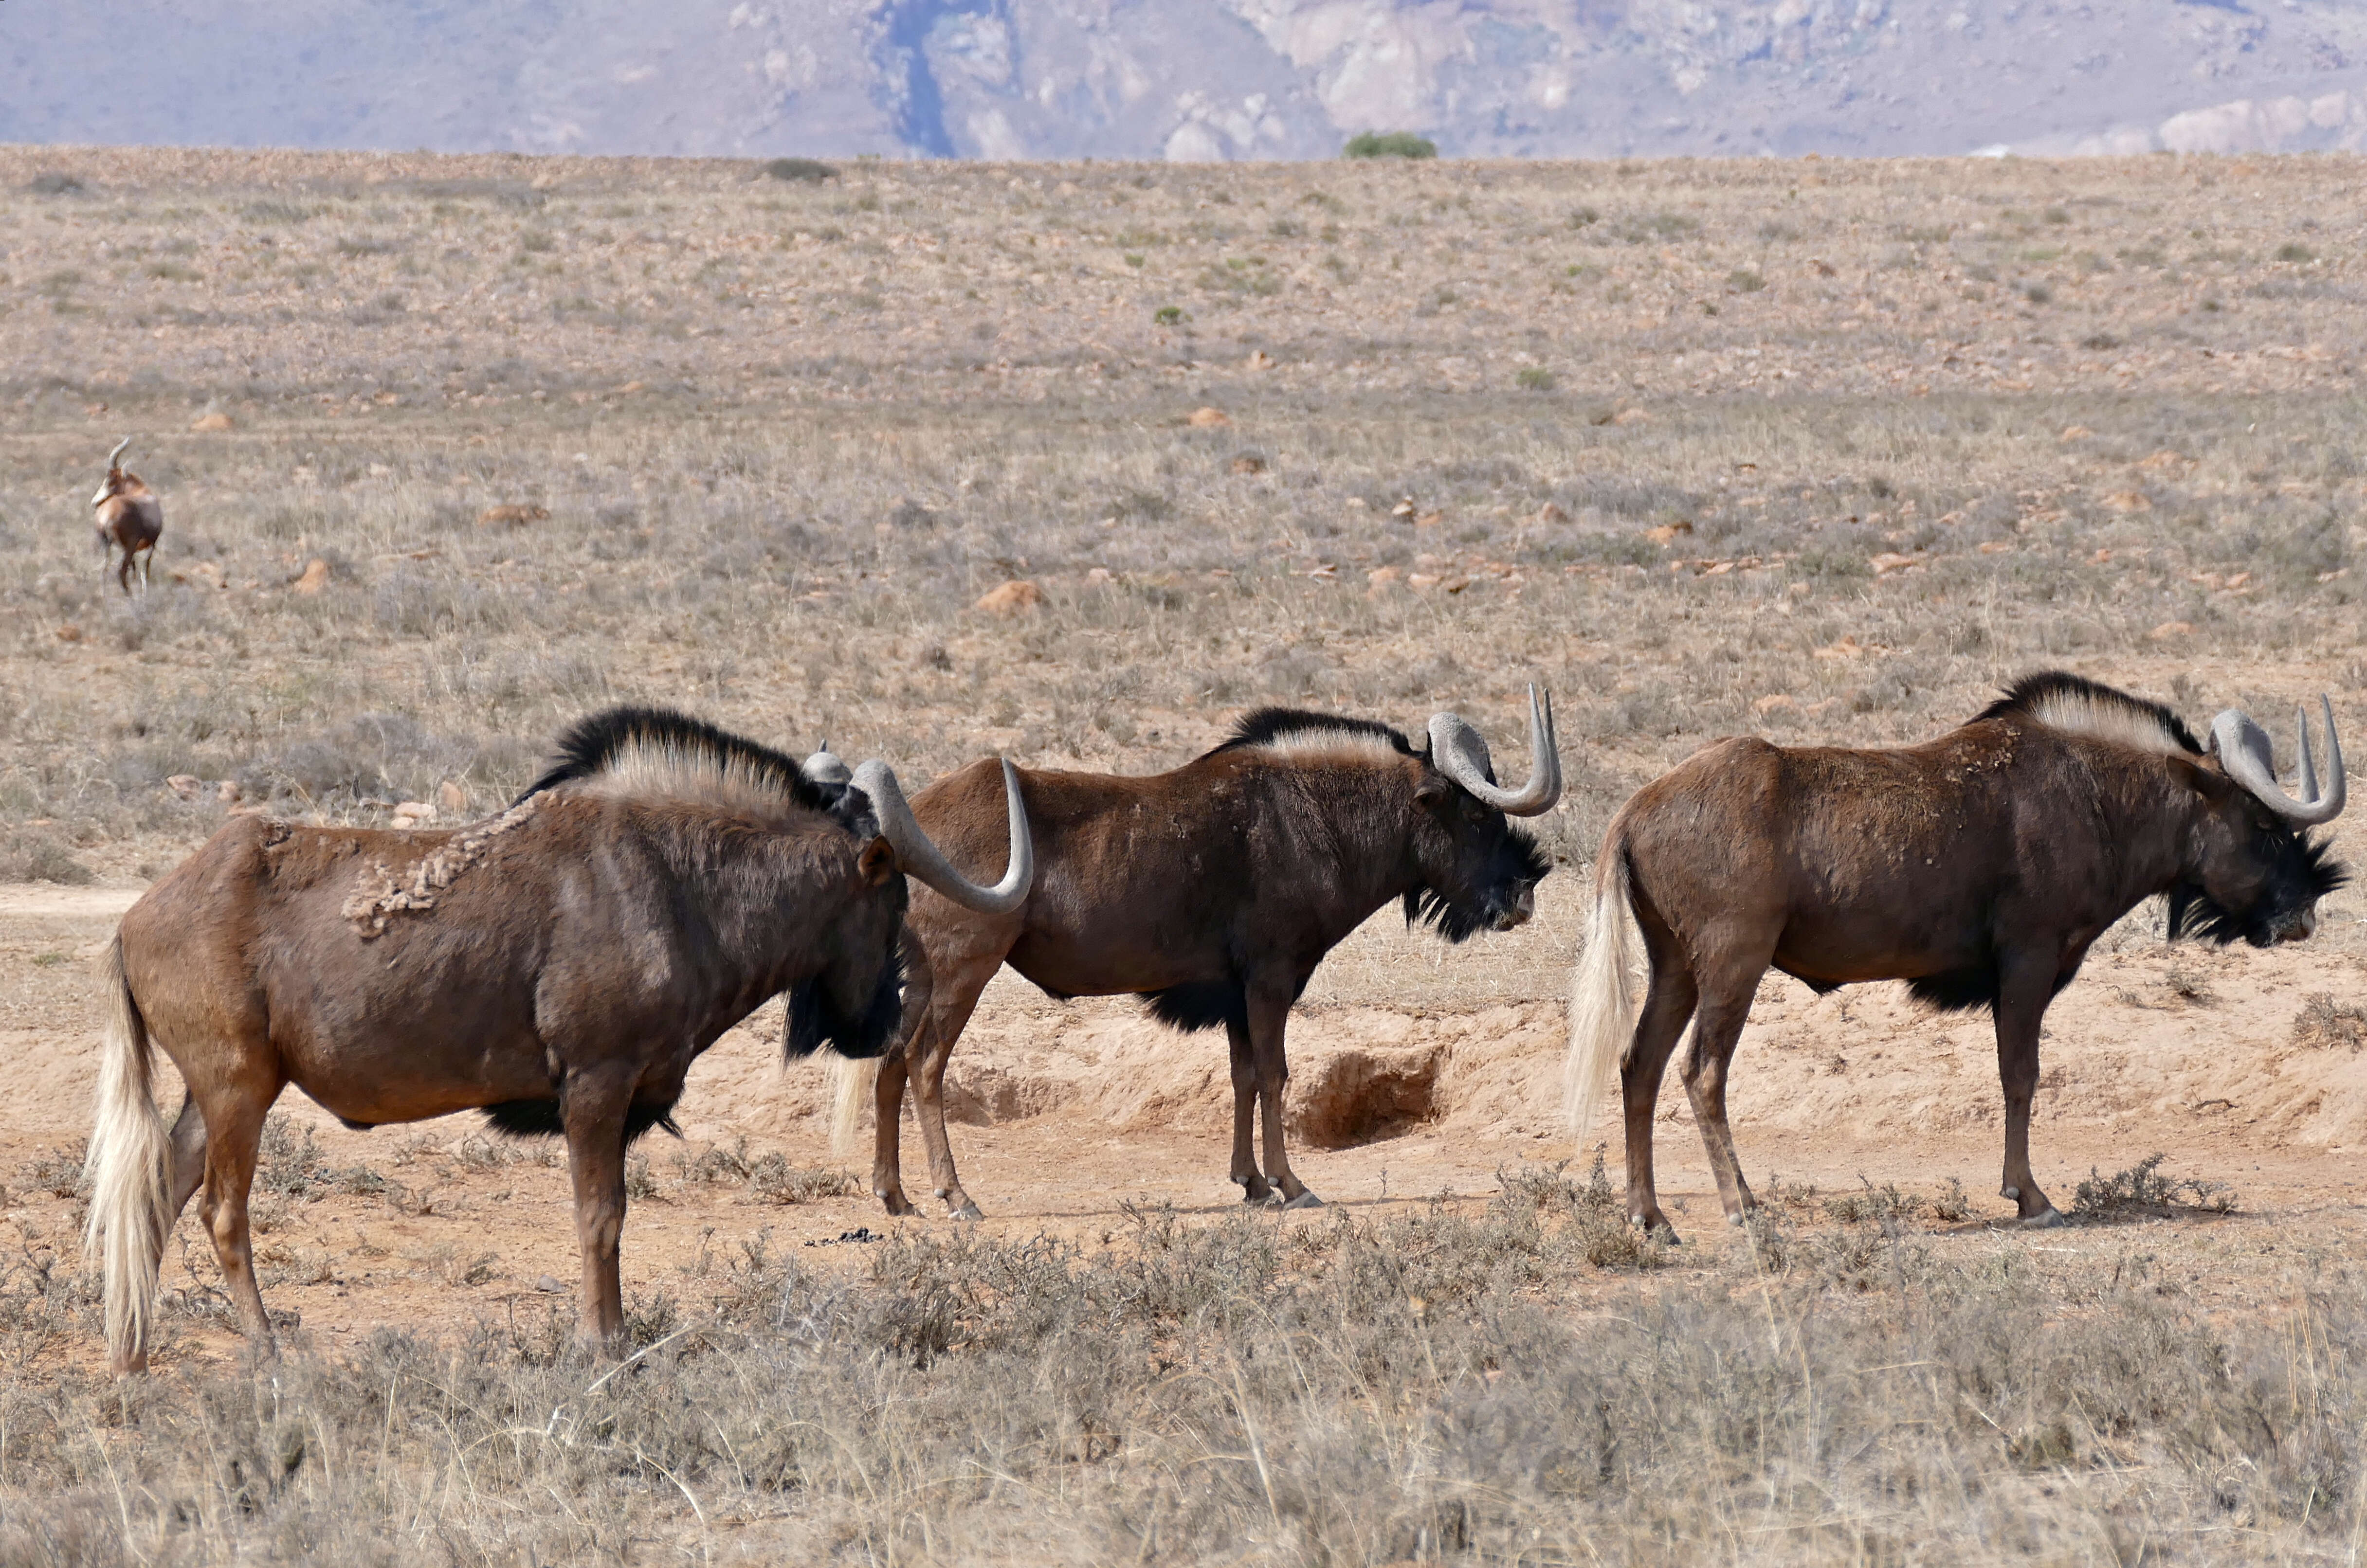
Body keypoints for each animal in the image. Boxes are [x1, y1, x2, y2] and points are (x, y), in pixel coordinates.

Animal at [91, 435, 162, 596]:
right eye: (107, 480)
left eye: (111, 482)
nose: (94, 502)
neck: (141, 491)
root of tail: (106, 515)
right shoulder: (151, 543)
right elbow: (144, 570)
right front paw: (144, 594)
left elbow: (136, 569)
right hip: (128, 546)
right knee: (121, 571)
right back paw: (130, 597)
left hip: (106, 544)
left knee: (104, 570)